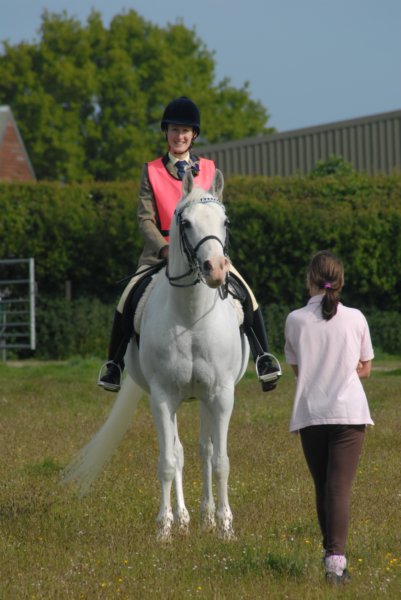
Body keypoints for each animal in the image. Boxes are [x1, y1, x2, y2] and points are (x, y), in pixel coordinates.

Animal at [63, 170, 247, 544]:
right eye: (186, 222)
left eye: (225, 221)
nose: (215, 270)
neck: (191, 317)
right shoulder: (162, 397)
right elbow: (167, 462)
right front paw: (165, 528)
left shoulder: (222, 395)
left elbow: (220, 461)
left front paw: (225, 527)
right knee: (178, 453)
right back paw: (185, 518)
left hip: (205, 398)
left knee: (205, 450)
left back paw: (207, 517)